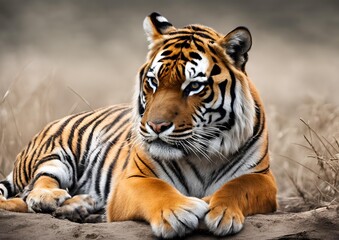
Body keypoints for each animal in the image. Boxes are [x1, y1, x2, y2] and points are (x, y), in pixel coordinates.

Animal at [0, 12, 278, 238]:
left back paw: (82, 206)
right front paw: (178, 212)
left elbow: (236, 187)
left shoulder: (262, 177)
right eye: (153, 81)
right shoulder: (133, 178)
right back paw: (50, 199)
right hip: (58, 151)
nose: (156, 126)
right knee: (32, 188)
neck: (202, 155)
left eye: (194, 86)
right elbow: (157, 190)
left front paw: (221, 211)